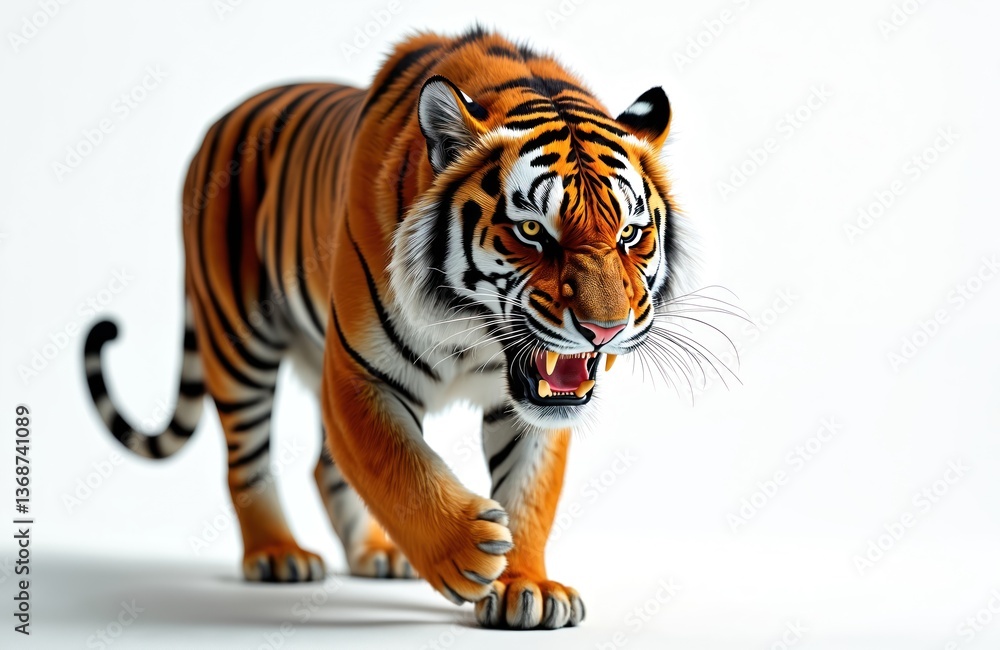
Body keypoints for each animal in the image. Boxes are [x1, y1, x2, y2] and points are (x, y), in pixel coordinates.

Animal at [83, 25, 689, 630]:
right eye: (533, 231)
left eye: (631, 235)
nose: (604, 329)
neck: (472, 334)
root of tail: (225, 117)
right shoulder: (359, 372)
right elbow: (398, 467)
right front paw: (468, 551)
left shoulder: (531, 406)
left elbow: (529, 490)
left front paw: (528, 587)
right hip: (239, 342)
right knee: (245, 462)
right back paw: (278, 555)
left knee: (325, 467)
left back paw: (376, 554)